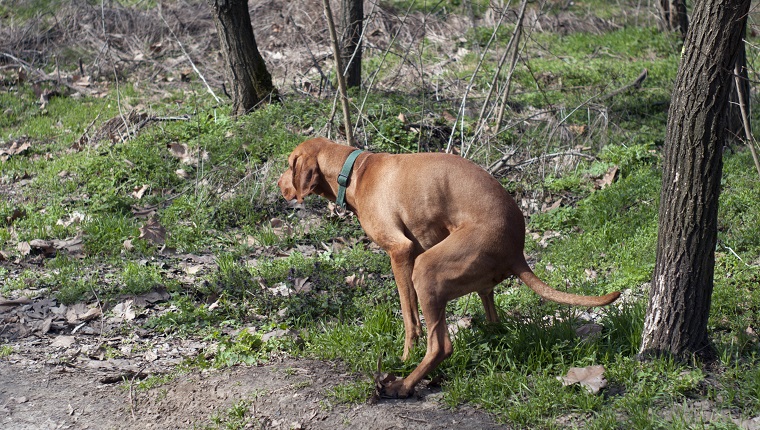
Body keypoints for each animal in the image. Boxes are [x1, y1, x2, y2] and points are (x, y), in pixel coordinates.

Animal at [276, 138, 620, 396]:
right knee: (493, 320)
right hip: (472, 280)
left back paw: (403, 386)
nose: (279, 187)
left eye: (289, 164)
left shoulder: (401, 253)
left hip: (426, 269)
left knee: (441, 346)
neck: (355, 171)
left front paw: (404, 356)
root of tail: (517, 251)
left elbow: (409, 318)